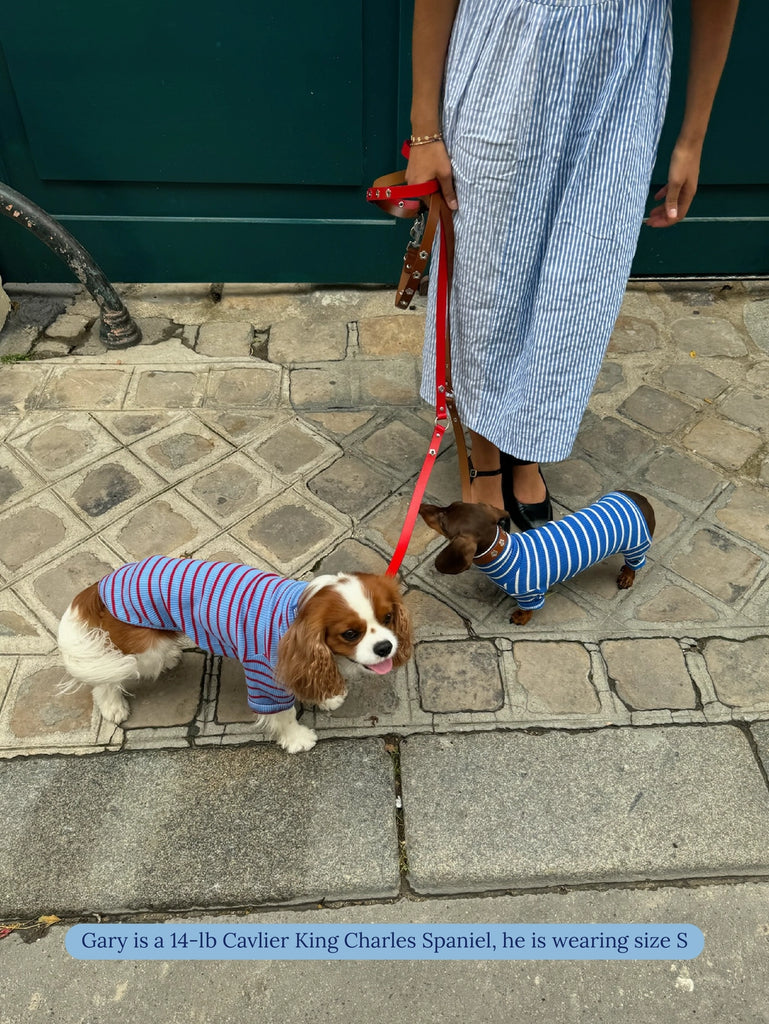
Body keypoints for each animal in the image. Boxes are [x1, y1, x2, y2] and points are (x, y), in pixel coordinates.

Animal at [57, 557, 411, 757]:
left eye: (388, 618)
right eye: (350, 634)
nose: (385, 647)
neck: (297, 616)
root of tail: (102, 584)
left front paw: (325, 696)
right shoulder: (264, 677)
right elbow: (282, 714)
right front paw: (296, 738)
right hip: (142, 651)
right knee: (106, 676)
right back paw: (112, 705)